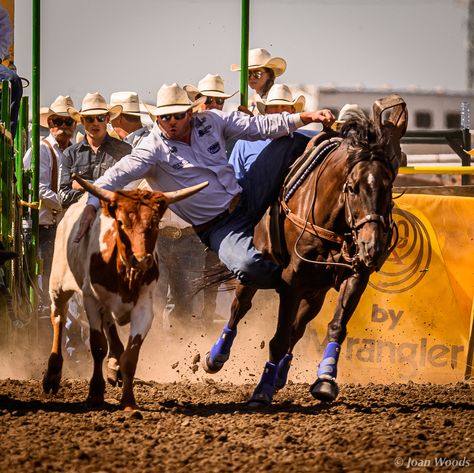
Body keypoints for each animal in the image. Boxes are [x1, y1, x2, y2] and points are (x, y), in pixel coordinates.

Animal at [202, 96, 406, 406]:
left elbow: (335, 327)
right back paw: (217, 357)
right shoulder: (291, 283)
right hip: (254, 275)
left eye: (389, 186)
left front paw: (325, 380)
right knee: (240, 309)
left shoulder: (354, 277)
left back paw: (281, 376)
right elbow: (278, 338)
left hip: (315, 292)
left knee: (298, 329)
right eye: (352, 187)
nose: (372, 246)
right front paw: (261, 391)